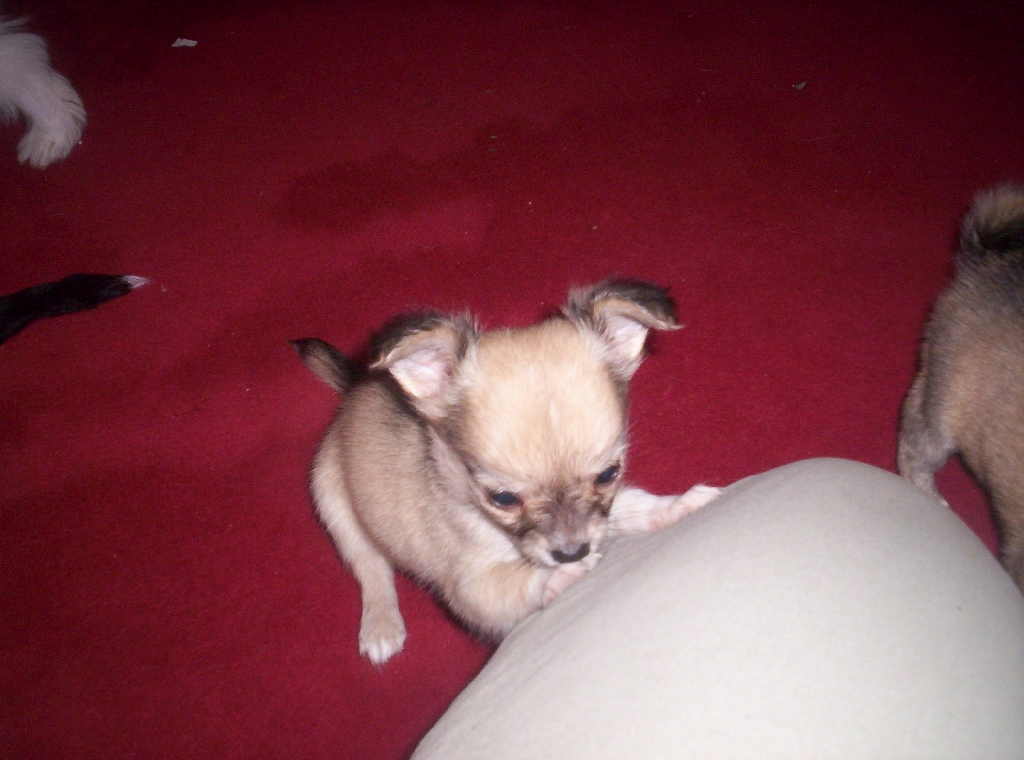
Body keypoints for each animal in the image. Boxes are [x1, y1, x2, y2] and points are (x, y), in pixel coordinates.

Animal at [294, 280, 720, 663]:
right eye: (502, 498)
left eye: (608, 474)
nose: (572, 551)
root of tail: (357, 386)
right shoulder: (471, 589)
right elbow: (516, 584)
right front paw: (565, 573)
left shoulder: (602, 513)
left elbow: (632, 506)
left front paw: (677, 506)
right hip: (333, 502)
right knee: (371, 567)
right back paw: (381, 626)